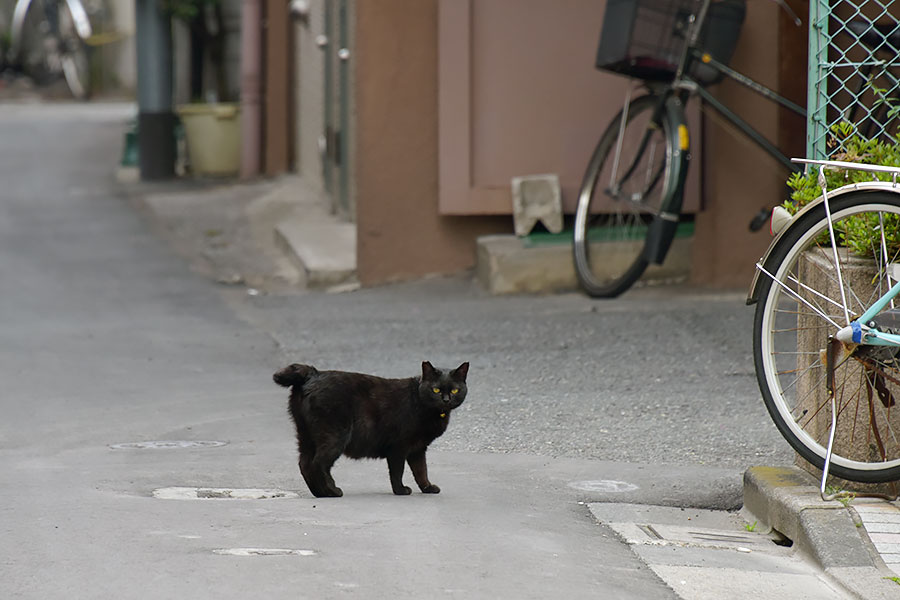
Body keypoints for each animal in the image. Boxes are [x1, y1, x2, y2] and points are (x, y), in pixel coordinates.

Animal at [272, 360, 472, 496]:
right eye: (436, 390)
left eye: (454, 390)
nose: (446, 399)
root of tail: (313, 373)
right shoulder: (399, 447)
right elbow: (397, 471)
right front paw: (400, 490)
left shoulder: (418, 448)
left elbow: (421, 470)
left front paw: (427, 487)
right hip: (334, 435)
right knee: (318, 464)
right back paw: (332, 491)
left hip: (306, 436)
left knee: (304, 464)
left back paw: (319, 493)